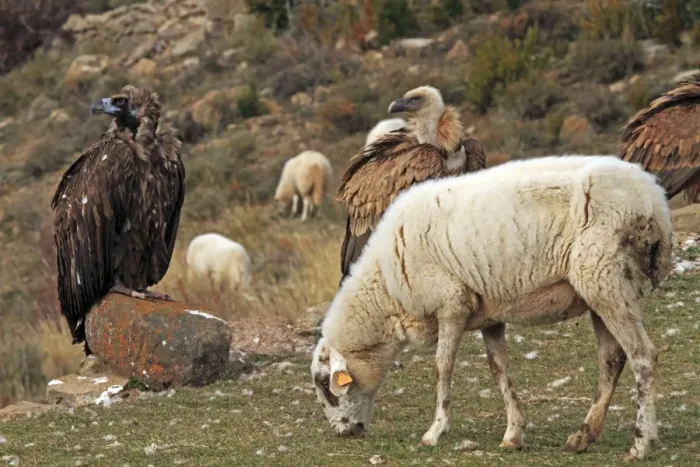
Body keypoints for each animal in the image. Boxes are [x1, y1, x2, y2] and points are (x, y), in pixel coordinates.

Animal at [311, 155, 672, 461]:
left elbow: (443, 366)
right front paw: (513, 434)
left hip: (606, 279)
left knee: (643, 355)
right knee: (612, 359)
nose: (343, 433)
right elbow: (499, 369)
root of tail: (654, 201)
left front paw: (435, 431)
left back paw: (642, 442)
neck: (386, 290)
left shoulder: (451, 304)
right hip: (598, 289)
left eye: (326, 387)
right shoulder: (489, 314)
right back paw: (584, 436)